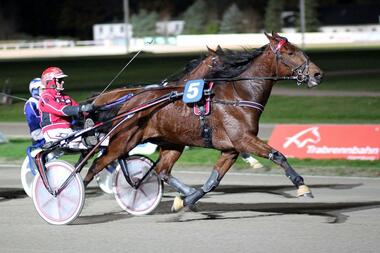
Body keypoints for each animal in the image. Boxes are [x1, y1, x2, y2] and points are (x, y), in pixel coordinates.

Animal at [84, 33, 322, 211]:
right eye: (290, 52)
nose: (318, 74)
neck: (238, 95)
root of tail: (129, 102)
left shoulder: (230, 149)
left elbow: (213, 181)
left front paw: (186, 200)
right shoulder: (244, 139)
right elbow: (278, 155)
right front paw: (302, 186)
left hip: (172, 144)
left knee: (161, 171)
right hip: (123, 141)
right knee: (95, 165)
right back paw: (75, 198)